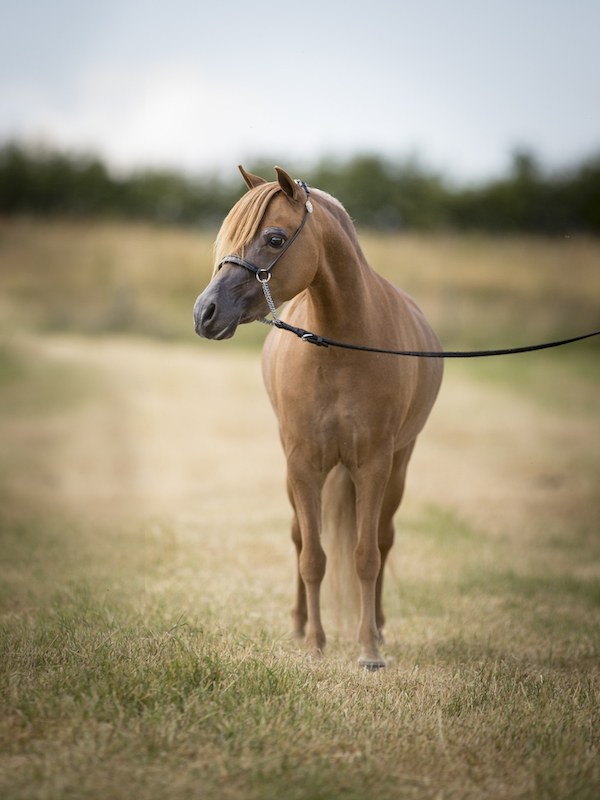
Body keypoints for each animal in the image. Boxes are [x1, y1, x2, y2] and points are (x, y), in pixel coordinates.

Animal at [193, 166, 443, 669]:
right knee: (298, 539)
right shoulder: (303, 464)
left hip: (398, 466)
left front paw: (369, 649)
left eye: (273, 238)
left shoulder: (374, 465)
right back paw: (298, 623)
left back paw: (379, 627)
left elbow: (365, 556)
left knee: (383, 540)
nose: (204, 312)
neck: (341, 345)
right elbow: (312, 556)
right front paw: (313, 644)